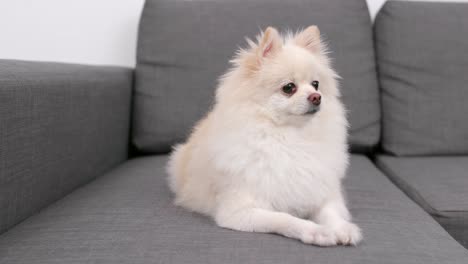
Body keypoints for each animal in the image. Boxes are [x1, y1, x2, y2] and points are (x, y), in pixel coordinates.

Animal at [167, 25, 362, 246]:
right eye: (289, 88)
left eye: (316, 84)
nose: (316, 97)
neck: (290, 137)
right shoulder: (240, 212)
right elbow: (285, 219)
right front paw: (317, 232)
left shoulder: (322, 193)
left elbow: (331, 213)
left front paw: (342, 228)